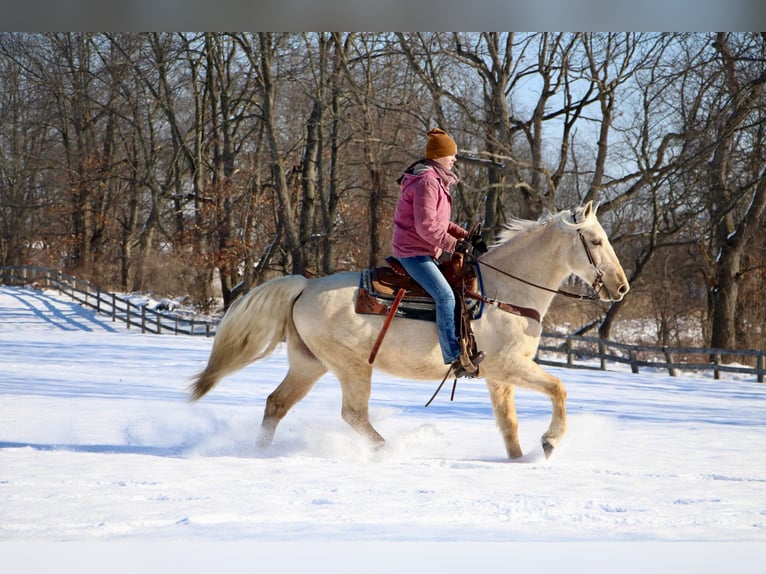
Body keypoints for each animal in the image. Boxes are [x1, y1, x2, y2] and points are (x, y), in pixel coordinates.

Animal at [190, 200, 632, 462]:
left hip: (309, 364)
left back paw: (260, 453)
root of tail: (304, 287)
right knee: (353, 414)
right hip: (352, 366)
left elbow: (509, 424)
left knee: (276, 404)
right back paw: (392, 448)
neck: (504, 292)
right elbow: (559, 388)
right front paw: (551, 442)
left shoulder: (498, 377)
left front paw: (519, 458)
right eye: (595, 240)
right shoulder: (508, 366)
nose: (621, 287)